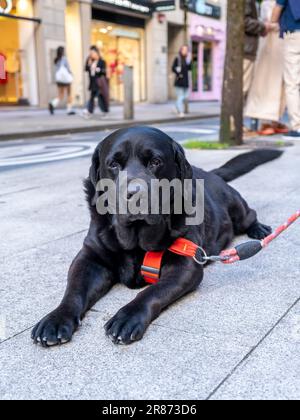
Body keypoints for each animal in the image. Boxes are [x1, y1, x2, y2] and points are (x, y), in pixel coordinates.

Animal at [31, 126, 282, 346]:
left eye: (155, 162)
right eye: (113, 164)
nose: (134, 194)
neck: (135, 239)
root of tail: (211, 173)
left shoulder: (185, 265)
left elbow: (152, 291)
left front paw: (127, 316)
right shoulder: (89, 258)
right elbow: (73, 291)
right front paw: (55, 319)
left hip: (237, 207)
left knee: (250, 214)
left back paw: (259, 230)